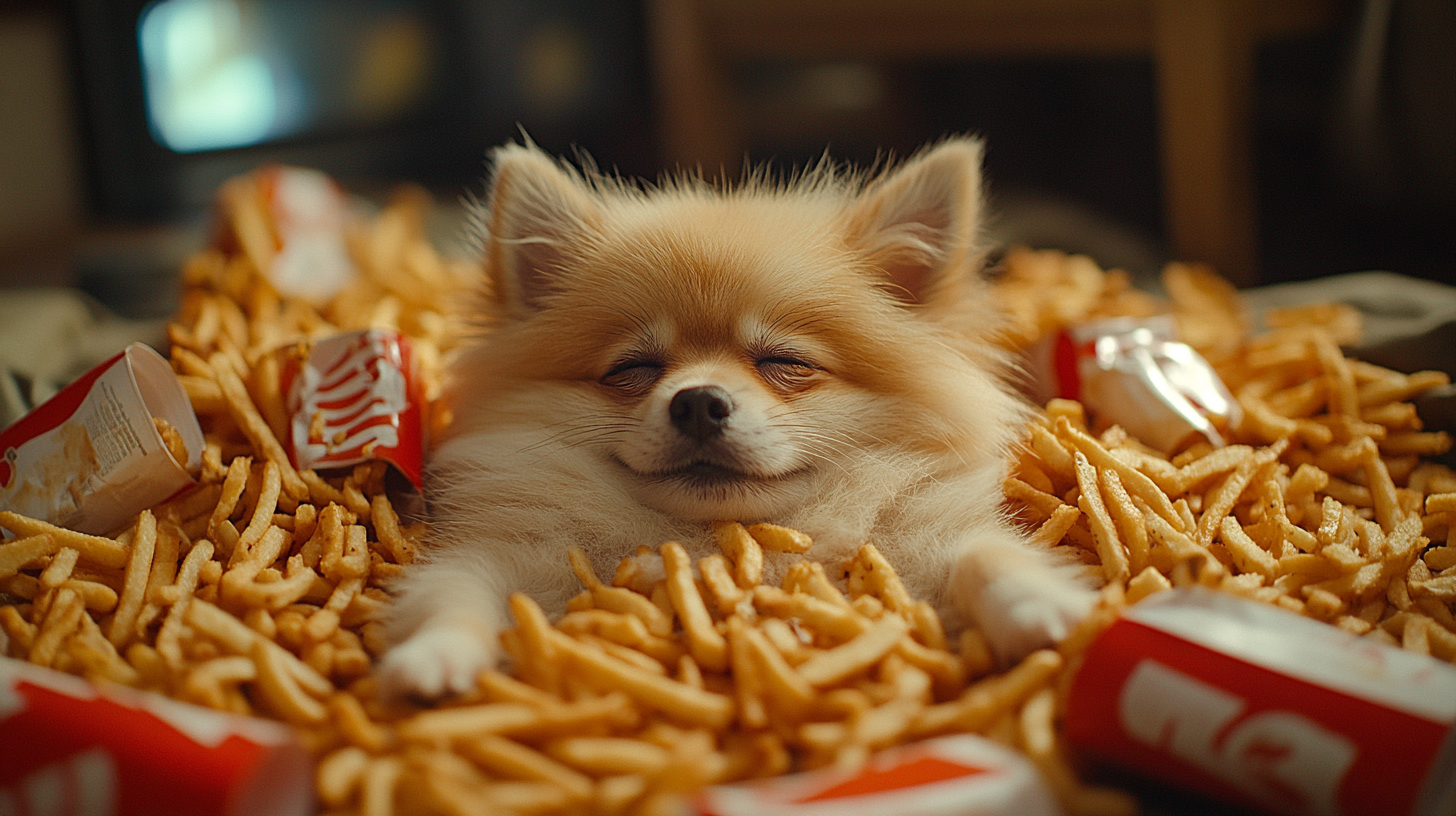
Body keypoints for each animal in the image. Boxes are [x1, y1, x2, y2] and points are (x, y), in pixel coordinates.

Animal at [381, 136, 1094, 699]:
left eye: (783, 361)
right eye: (633, 369)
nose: (698, 400)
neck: (726, 544)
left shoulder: (920, 547)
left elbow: (987, 557)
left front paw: (1043, 609)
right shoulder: (505, 559)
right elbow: (453, 593)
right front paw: (432, 658)